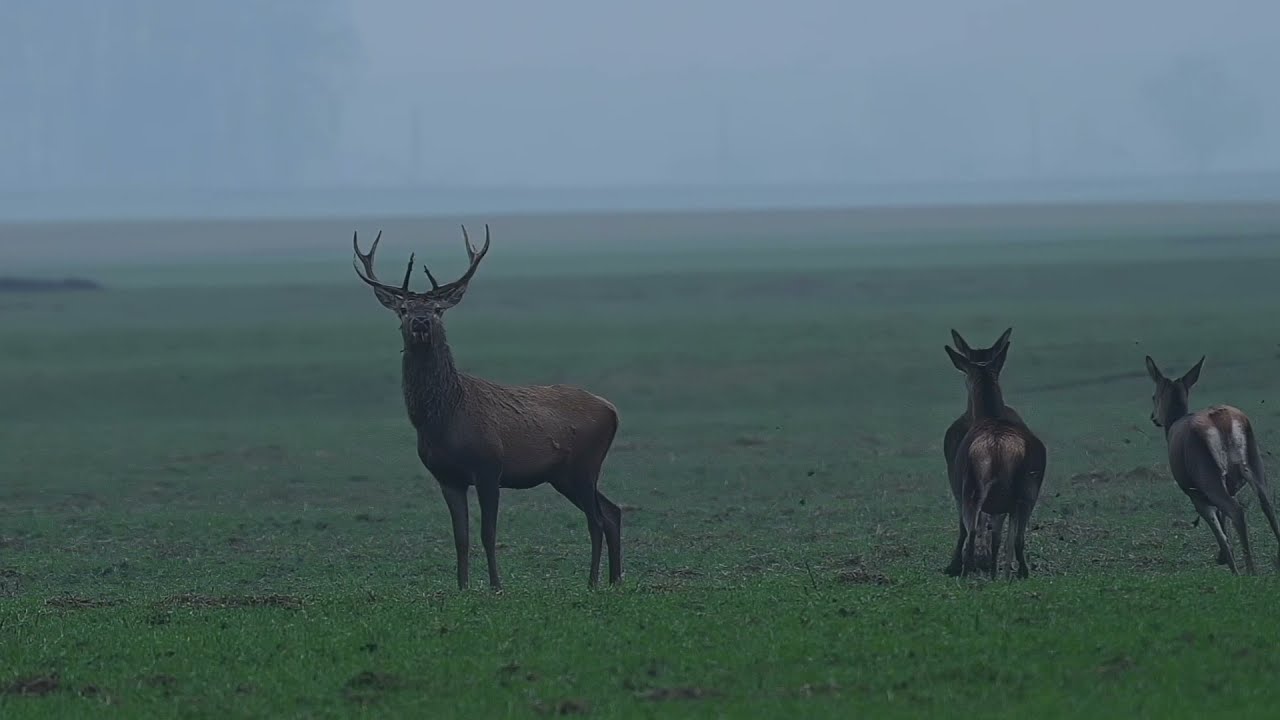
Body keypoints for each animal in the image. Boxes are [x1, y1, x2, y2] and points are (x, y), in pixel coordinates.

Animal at [351, 226, 624, 591]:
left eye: (438, 309)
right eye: (404, 309)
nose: (421, 322)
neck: (442, 421)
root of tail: (612, 410)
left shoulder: (489, 467)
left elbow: (488, 533)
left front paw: (496, 586)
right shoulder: (447, 477)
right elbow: (461, 537)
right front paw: (462, 587)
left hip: (584, 465)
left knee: (596, 518)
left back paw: (593, 581)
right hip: (564, 474)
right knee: (612, 511)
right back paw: (615, 579)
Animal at [944, 340, 1047, 579]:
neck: (988, 415)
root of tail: (997, 448)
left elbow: (985, 534)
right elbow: (1001, 537)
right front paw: (997, 571)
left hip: (972, 488)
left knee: (973, 531)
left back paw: (968, 568)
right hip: (1027, 490)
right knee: (1017, 538)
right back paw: (1020, 571)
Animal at [1144, 355, 1280, 575]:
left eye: (1154, 396)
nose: (1153, 417)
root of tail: (1221, 419)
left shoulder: (1195, 494)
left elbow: (1219, 529)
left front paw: (1226, 560)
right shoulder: (1230, 487)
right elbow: (1224, 522)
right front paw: (1221, 557)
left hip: (1207, 473)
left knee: (1237, 510)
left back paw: (1248, 571)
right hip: (1253, 461)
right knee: (1267, 503)